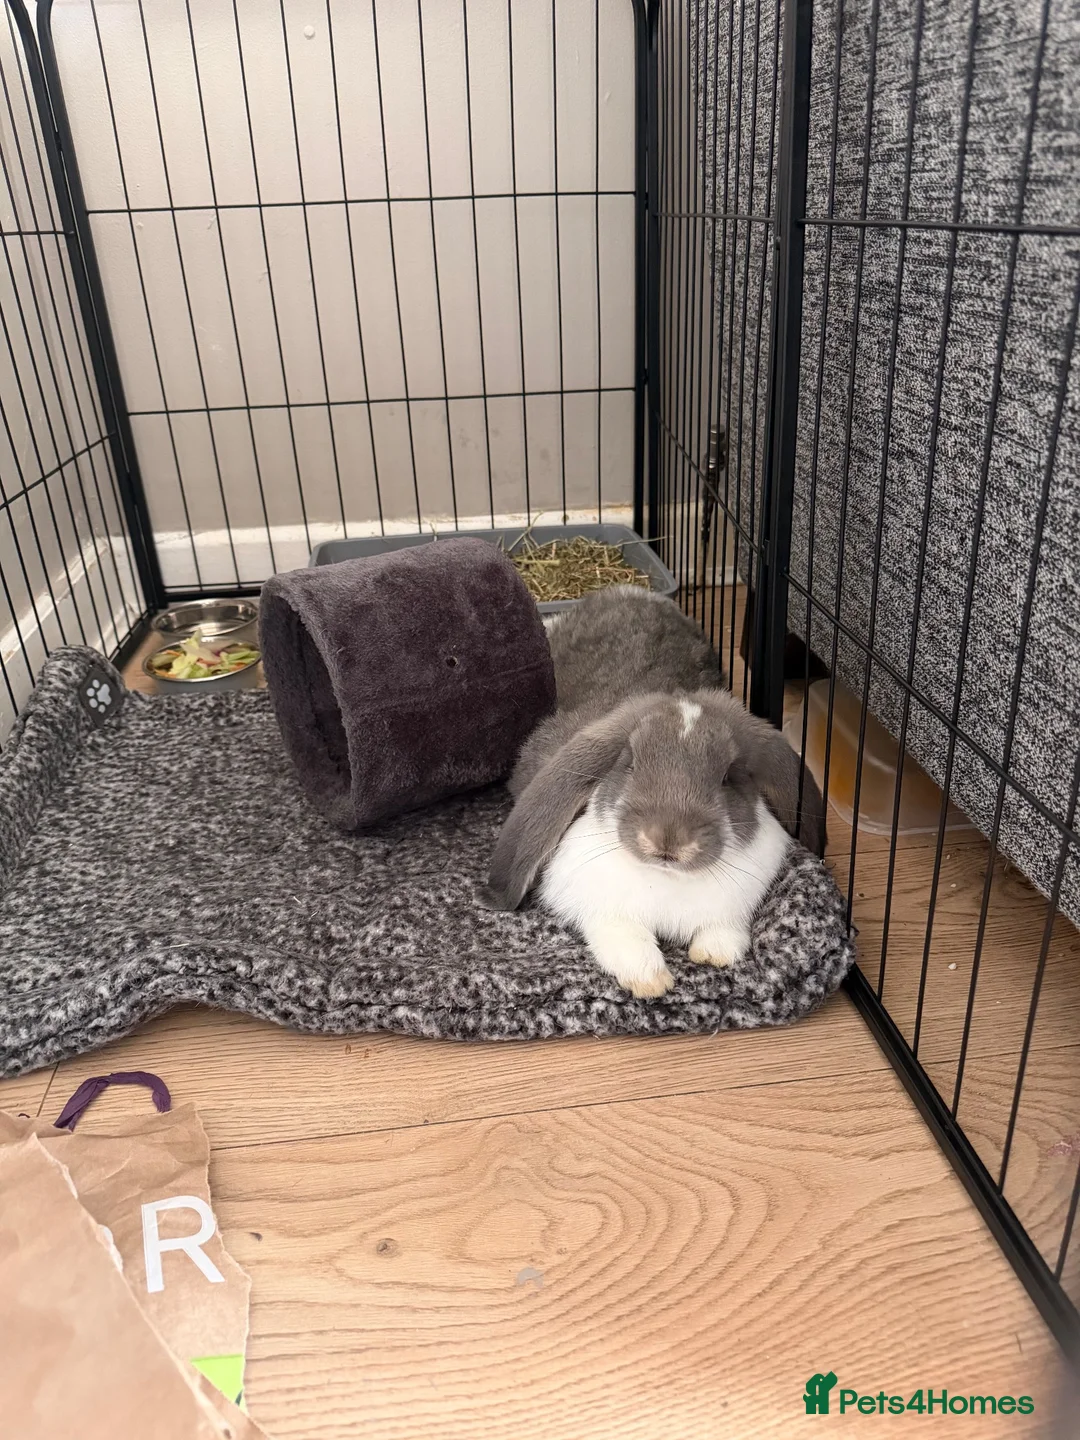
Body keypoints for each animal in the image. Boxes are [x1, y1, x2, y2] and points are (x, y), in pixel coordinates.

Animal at [485, 586, 826, 998]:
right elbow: (626, 940)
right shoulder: (601, 910)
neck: (664, 878)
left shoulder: (733, 906)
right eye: (630, 761)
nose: (668, 840)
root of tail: (630, 590)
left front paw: (713, 955)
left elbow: (725, 932)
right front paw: (651, 982)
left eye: (728, 776)